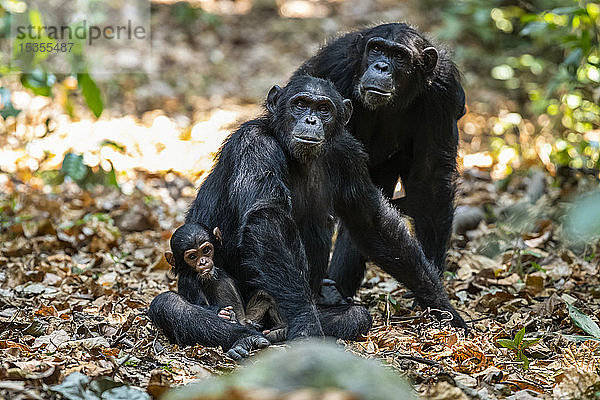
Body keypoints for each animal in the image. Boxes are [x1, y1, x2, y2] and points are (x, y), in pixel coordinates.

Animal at [149, 75, 464, 356]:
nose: (311, 120)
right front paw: (305, 324)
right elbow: (267, 218)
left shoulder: (348, 154)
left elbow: (370, 220)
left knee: (356, 315)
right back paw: (244, 338)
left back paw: (278, 333)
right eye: (300, 104)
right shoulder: (255, 146)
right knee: (170, 305)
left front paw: (443, 308)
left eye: (324, 109)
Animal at [292, 21, 466, 296]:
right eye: (376, 49)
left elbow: (431, 180)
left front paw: (432, 280)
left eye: (399, 56)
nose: (381, 66)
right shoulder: (335, 71)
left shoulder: (443, 92)